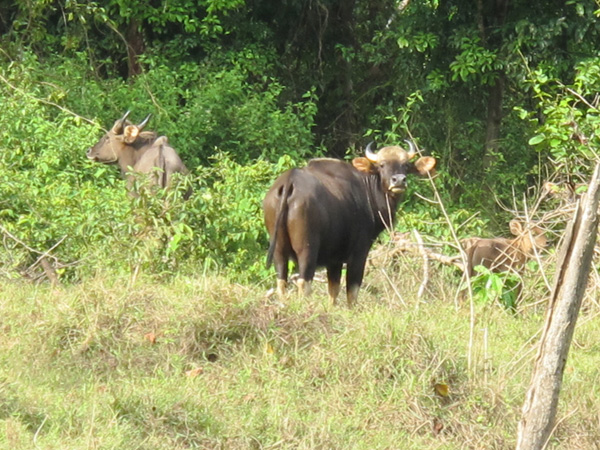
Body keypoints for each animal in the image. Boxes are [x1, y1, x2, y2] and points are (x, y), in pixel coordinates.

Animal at [262, 141, 436, 306]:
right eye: (381, 165)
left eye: (405, 165)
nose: (399, 180)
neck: (368, 190)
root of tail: (289, 182)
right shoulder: (359, 253)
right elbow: (352, 290)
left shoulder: (334, 260)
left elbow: (333, 290)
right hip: (307, 249)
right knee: (304, 281)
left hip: (278, 249)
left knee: (281, 280)